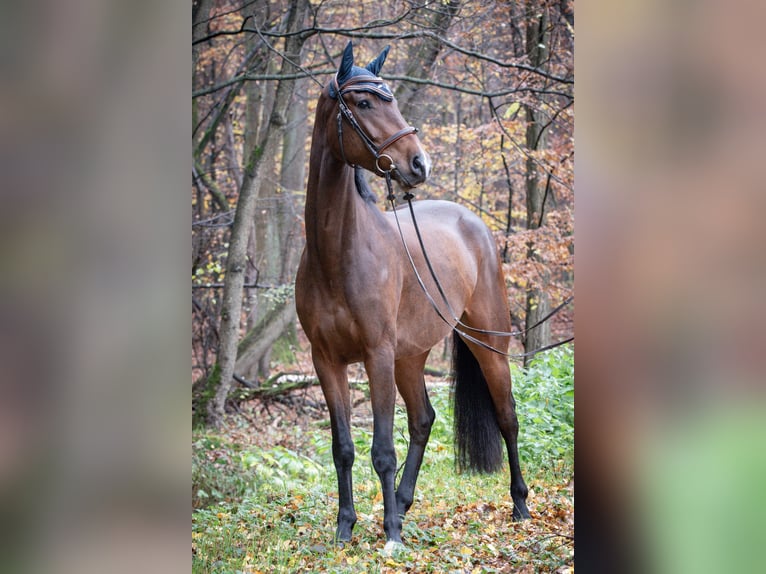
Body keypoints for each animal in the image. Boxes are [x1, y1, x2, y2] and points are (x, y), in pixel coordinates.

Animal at [296, 41, 532, 552]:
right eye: (365, 102)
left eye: (394, 99)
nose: (419, 164)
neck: (337, 254)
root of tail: (473, 223)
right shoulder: (327, 361)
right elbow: (343, 448)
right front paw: (346, 527)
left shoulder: (377, 355)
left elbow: (382, 450)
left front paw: (390, 536)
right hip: (411, 356)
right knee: (423, 419)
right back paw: (403, 505)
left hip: (489, 345)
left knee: (507, 418)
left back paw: (520, 505)